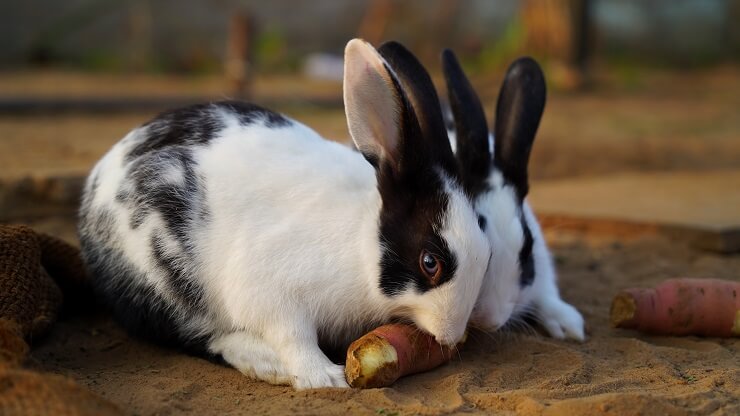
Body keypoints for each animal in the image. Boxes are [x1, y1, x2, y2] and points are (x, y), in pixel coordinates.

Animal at [78, 39, 492, 390]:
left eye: (487, 252)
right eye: (430, 263)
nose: (451, 334)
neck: (360, 244)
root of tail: (96, 181)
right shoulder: (271, 289)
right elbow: (292, 334)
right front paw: (325, 378)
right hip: (164, 279)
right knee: (198, 336)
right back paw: (266, 363)